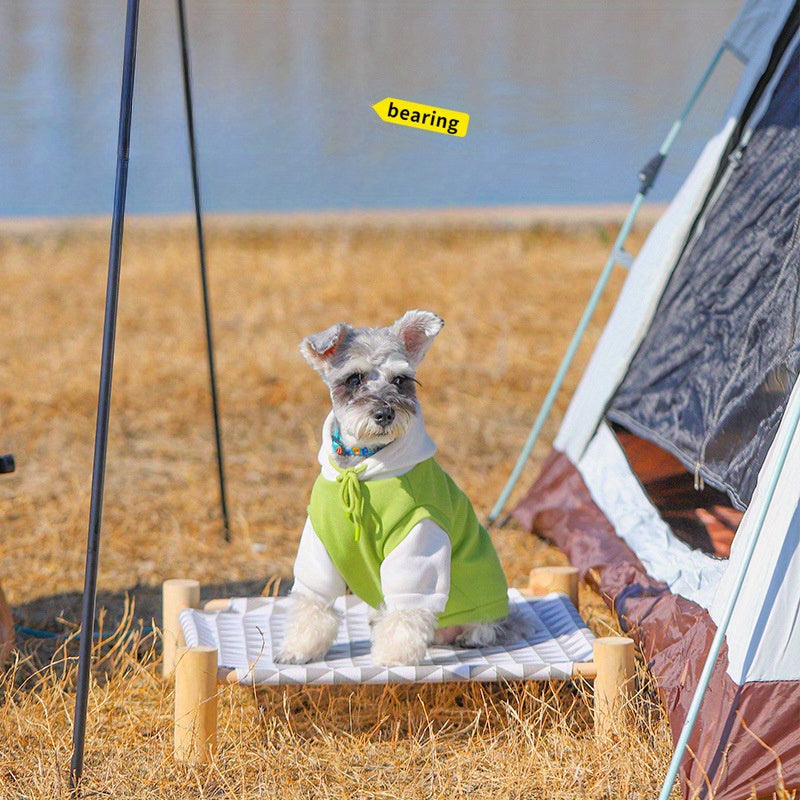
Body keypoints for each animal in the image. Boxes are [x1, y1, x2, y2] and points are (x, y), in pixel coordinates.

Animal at [278, 310, 510, 664]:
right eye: (354, 379)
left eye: (400, 380)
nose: (385, 414)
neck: (360, 465)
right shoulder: (319, 543)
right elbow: (313, 601)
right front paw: (298, 648)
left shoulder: (417, 538)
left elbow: (409, 606)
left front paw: (394, 656)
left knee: (487, 622)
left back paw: (473, 635)